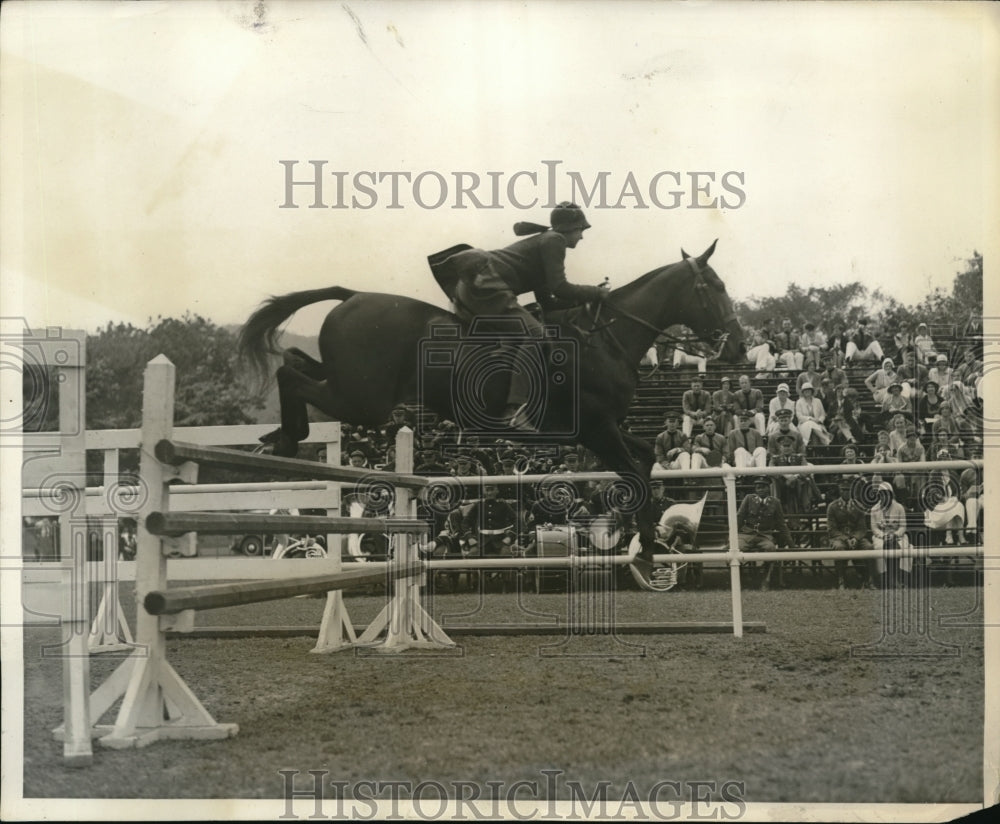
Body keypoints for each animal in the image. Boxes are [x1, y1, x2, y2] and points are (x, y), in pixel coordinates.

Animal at [240, 240, 744, 584]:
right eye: (717, 287)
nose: (737, 345)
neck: (606, 340)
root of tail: (351, 296)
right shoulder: (598, 430)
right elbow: (636, 474)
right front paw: (644, 552)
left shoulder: (607, 433)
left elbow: (644, 459)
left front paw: (649, 544)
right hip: (363, 397)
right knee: (290, 373)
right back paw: (284, 438)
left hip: (350, 384)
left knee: (295, 361)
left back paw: (278, 438)